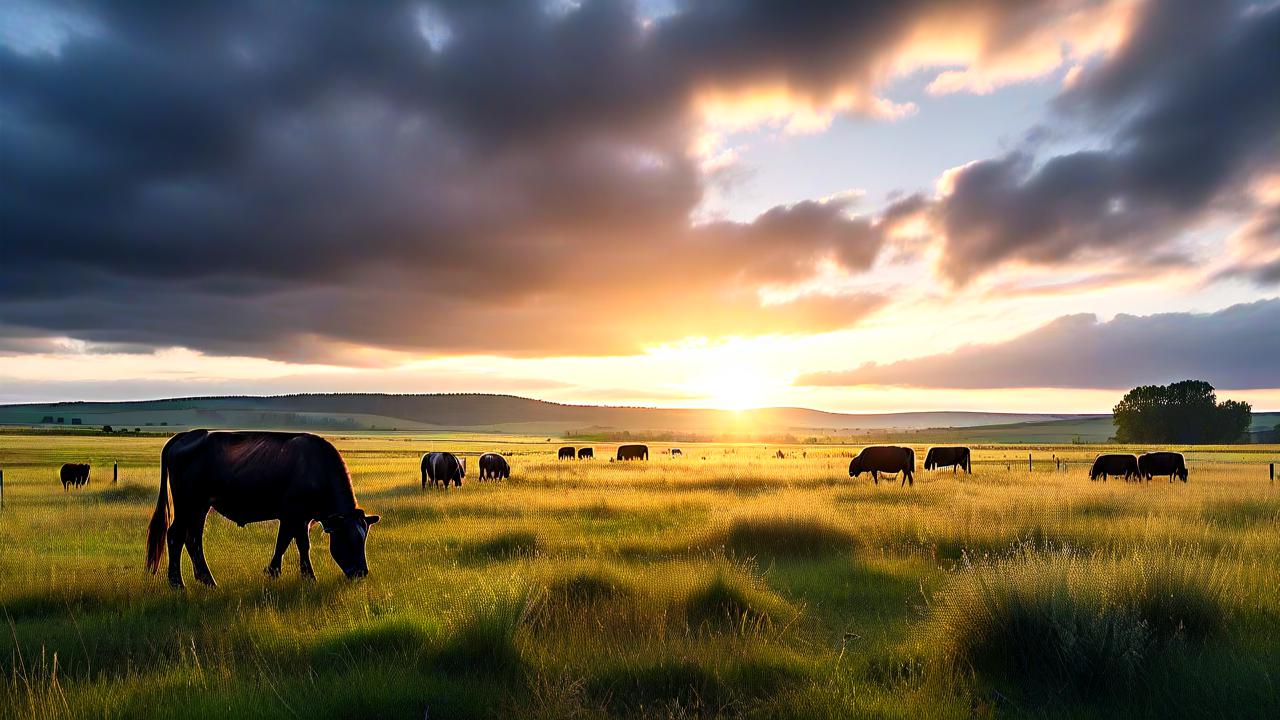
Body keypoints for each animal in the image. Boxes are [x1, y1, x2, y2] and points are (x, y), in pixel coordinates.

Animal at [144, 427, 376, 586]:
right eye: (346, 538)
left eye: (363, 538)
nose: (361, 572)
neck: (317, 468)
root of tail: (186, 434)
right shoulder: (296, 515)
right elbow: (299, 544)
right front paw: (307, 577)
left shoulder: (295, 517)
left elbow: (285, 542)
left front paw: (275, 571)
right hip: (187, 504)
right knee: (175, 535)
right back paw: (177, 583)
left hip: (200, 507)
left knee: (193, 539)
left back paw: (207, 580)